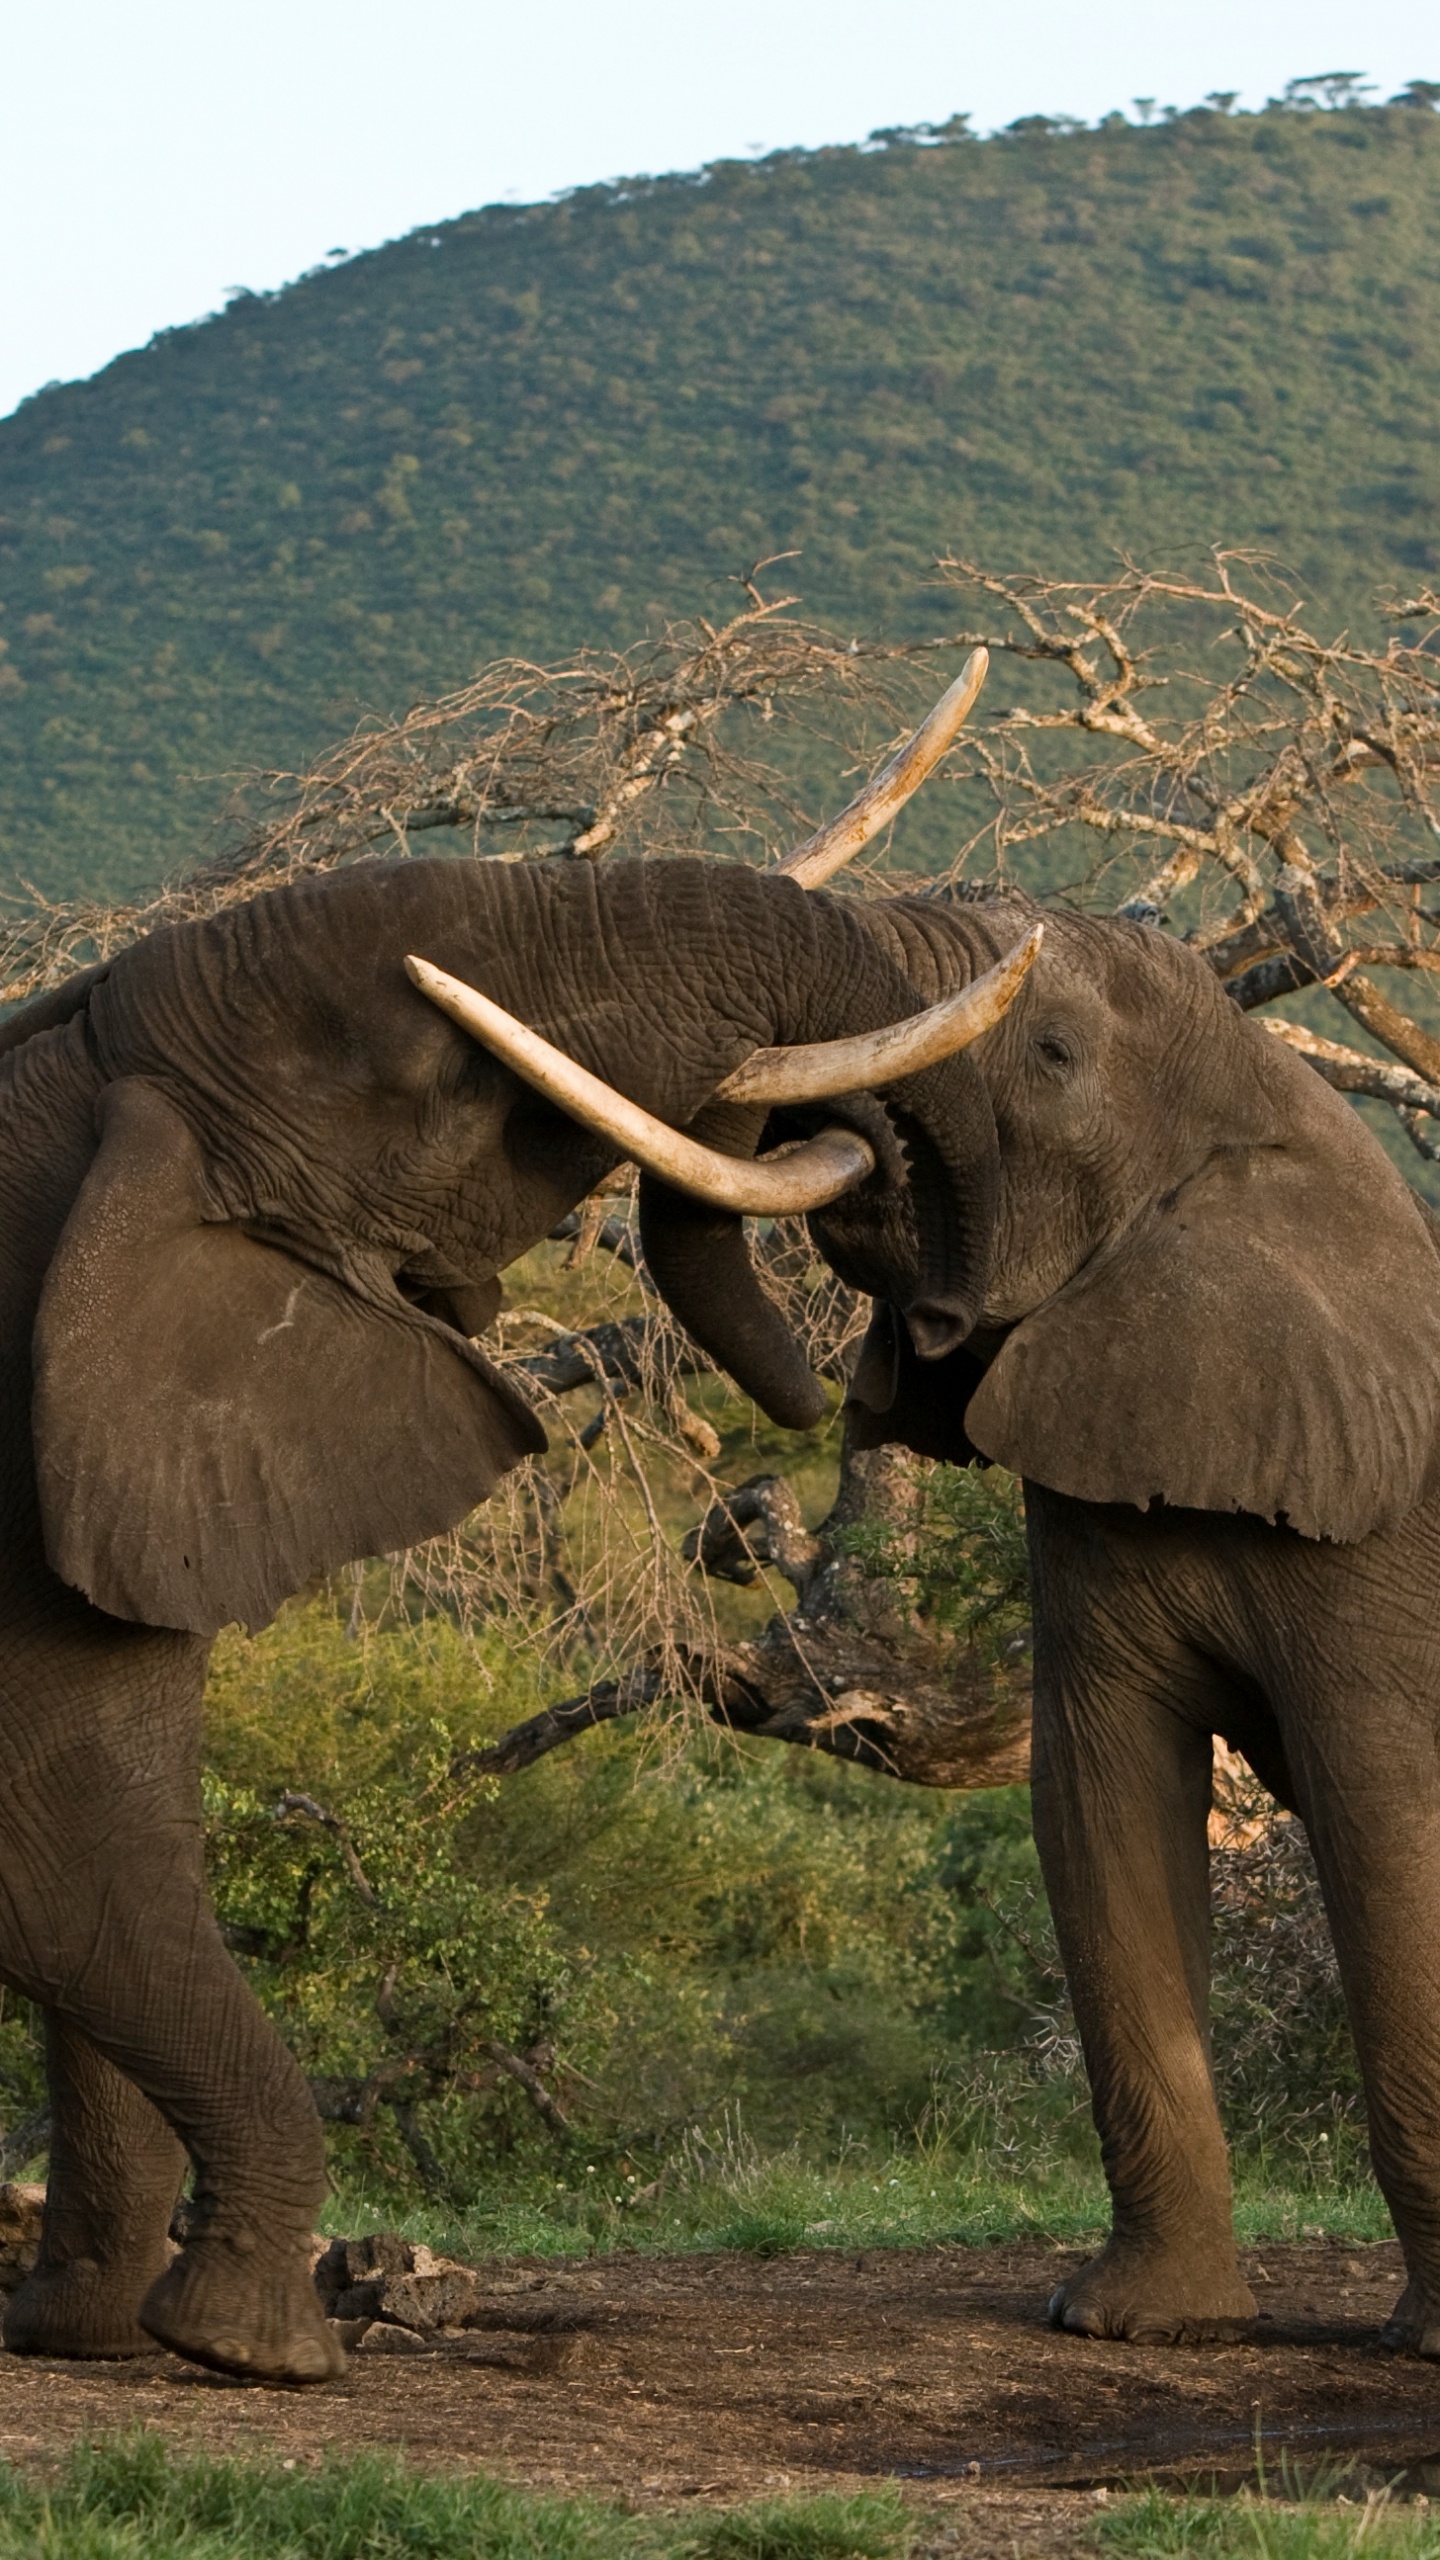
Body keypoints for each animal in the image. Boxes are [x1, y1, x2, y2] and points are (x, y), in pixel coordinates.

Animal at [0, 804, 1033, 2382]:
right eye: (436, 1079)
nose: (911, 1334)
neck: (92, 1092)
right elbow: (66, 1859)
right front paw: (255, 2349)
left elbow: (124, 1840)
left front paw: (83, 2333)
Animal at [470, 858, 1440, 2358]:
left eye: (1051, 1057)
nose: (732, 1502)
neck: (1276, 1104)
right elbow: (1101, 1810)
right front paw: (1129, 2326)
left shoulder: (1376, 1546)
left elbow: (1383, 1824)